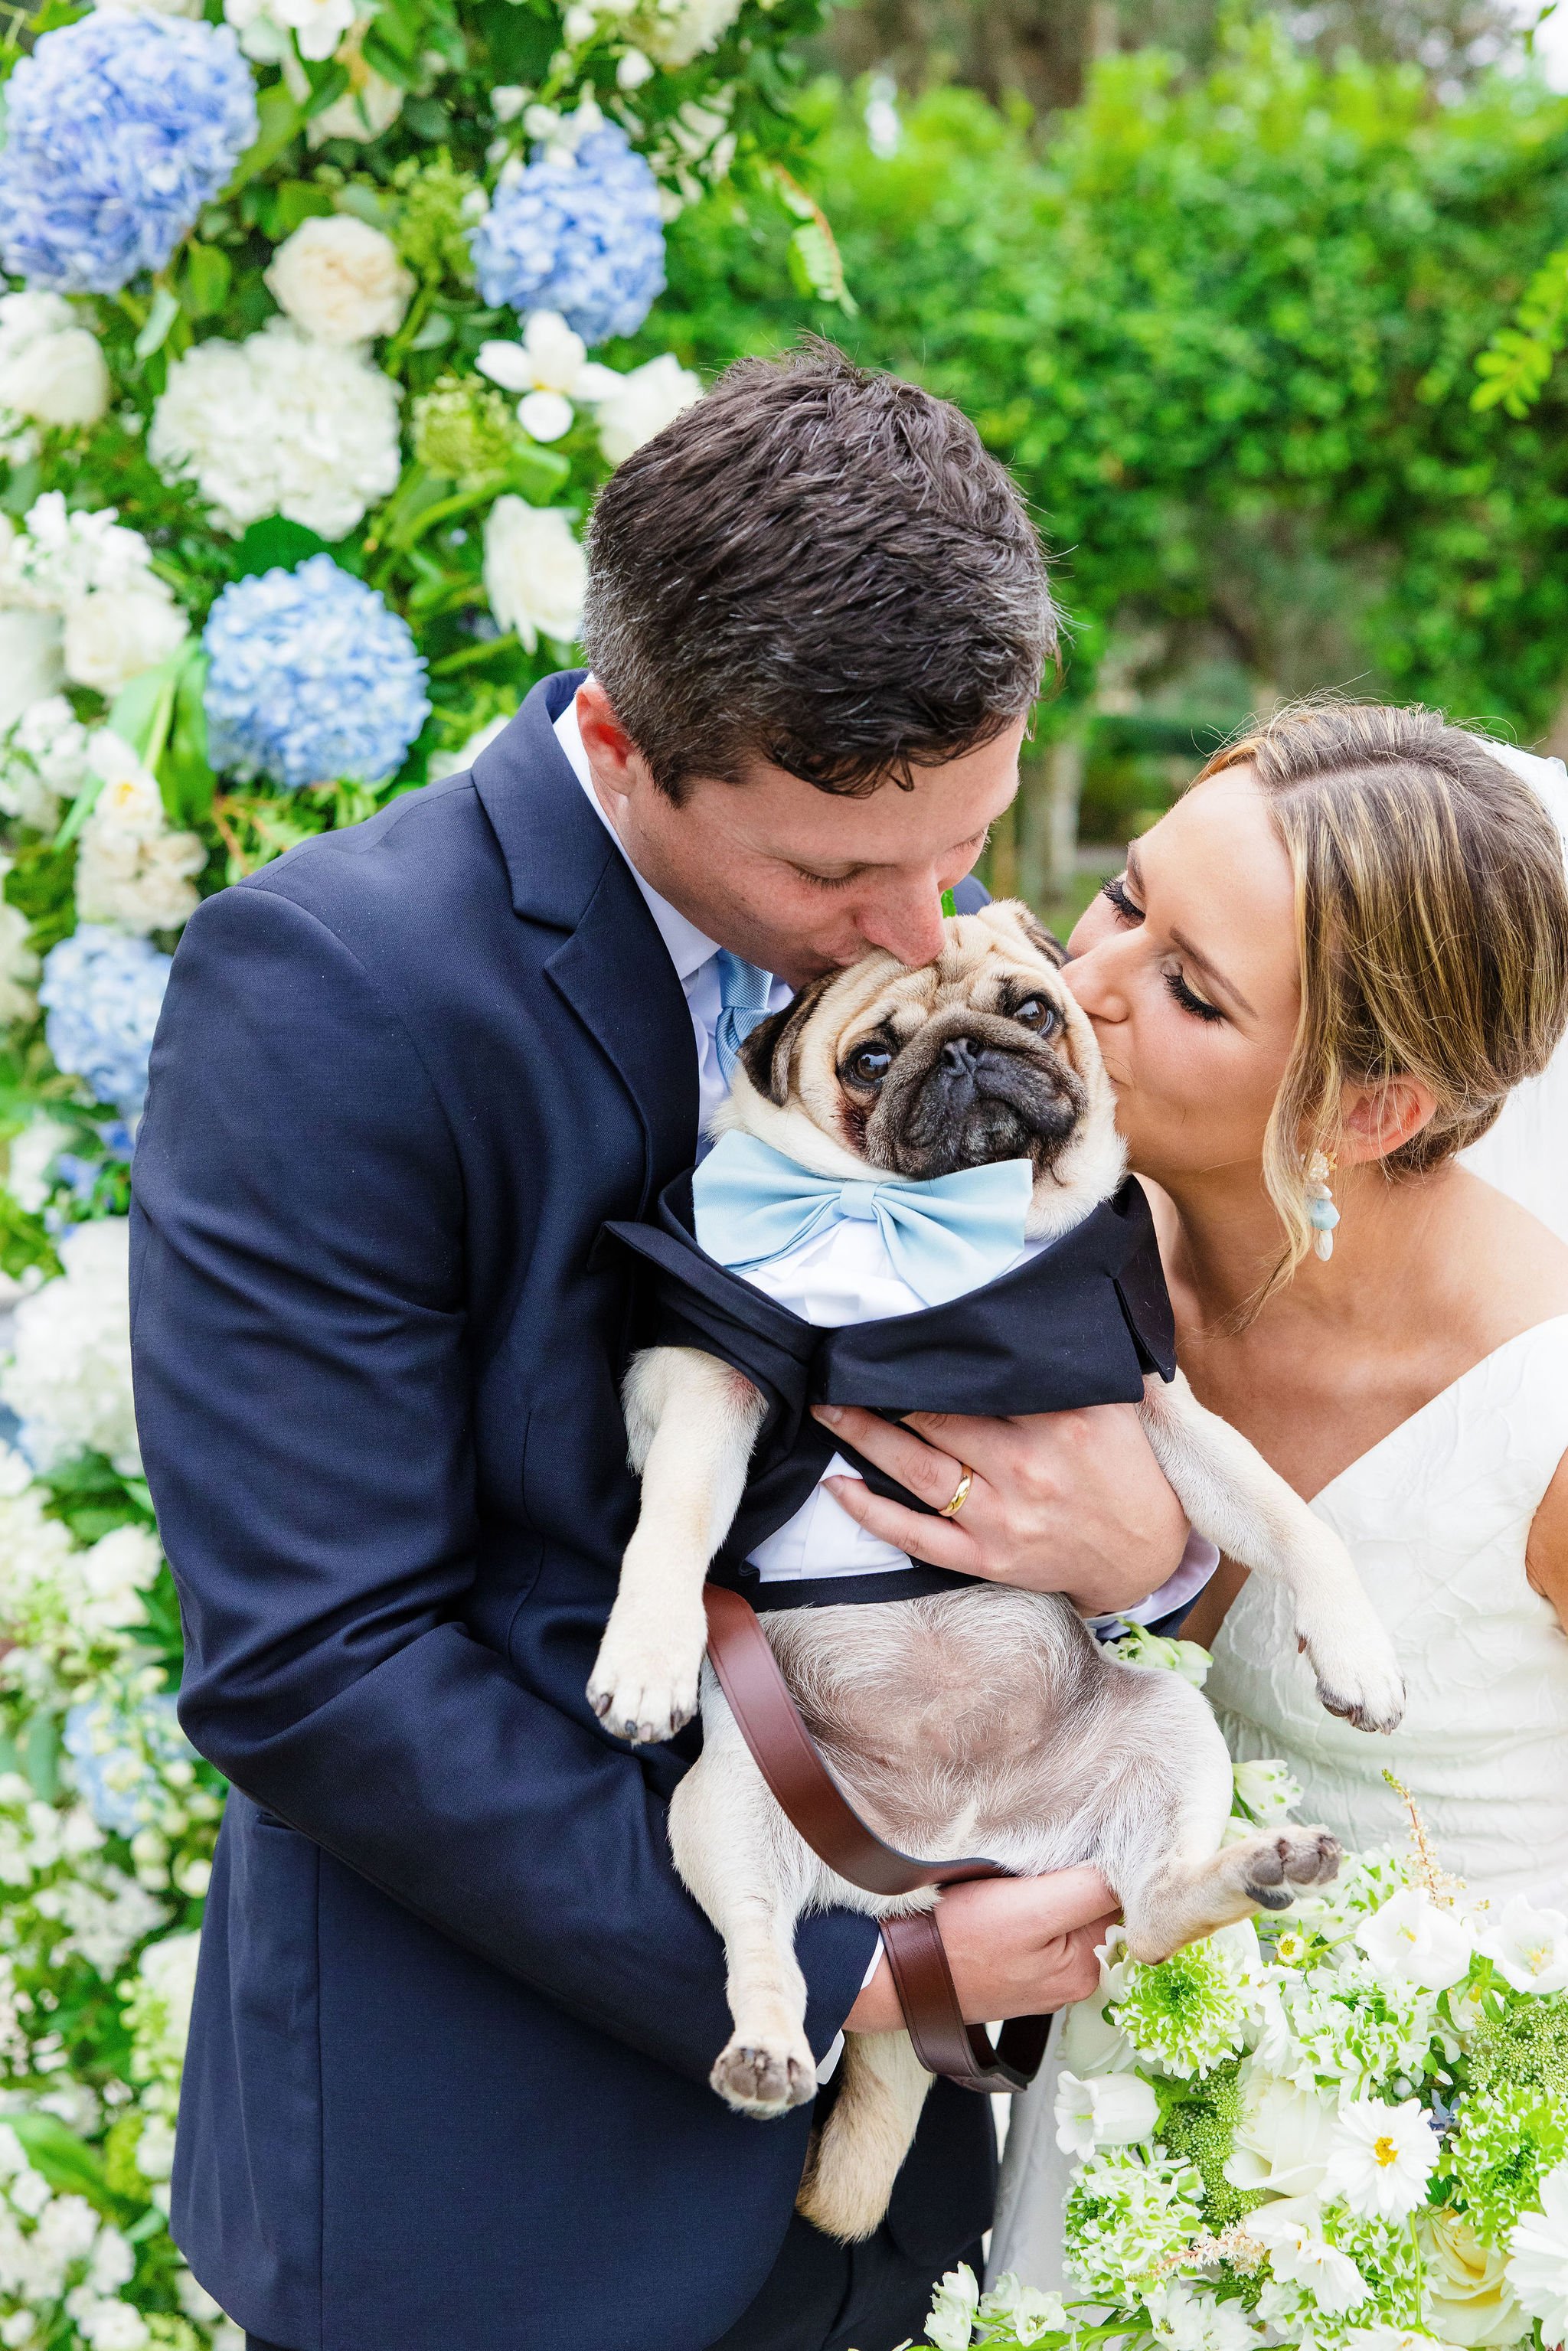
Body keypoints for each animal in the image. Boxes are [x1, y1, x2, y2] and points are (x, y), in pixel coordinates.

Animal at [592, 893, 1410, 2238]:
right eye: (873, 1057)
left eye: (1032, 1007)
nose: (971, 1050)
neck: (947, 1254)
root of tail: (939, 1878)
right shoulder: (704, 1370)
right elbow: (678, 1515)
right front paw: (651, 1649)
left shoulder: (1145, 1390)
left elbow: (1286, 1513)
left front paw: (1358, 1650)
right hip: (730, 1806)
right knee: (764, 1943)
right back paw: (765, 2046)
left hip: (1167, 1737)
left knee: (1150, 1912)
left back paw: (1256, 1864)